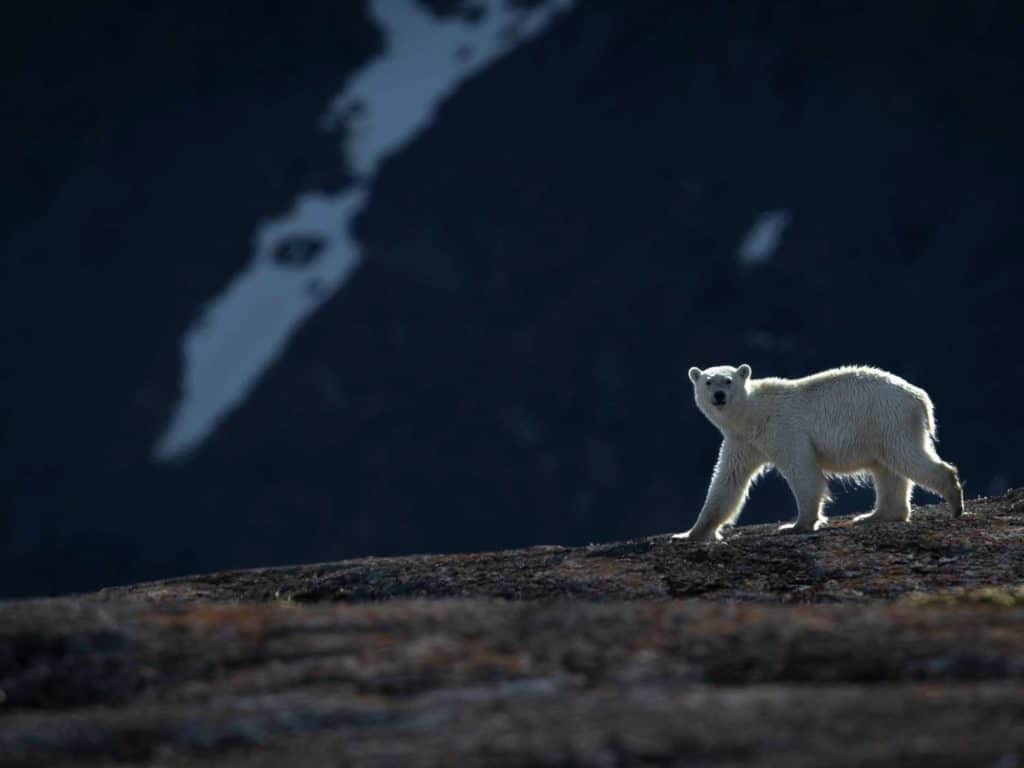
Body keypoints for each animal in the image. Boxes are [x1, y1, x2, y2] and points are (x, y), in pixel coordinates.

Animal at [672, 364, 964, 542]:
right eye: (708, 381)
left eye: (728, 380)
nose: (719, 395)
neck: (753, 416)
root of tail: (920, 396)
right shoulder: (742, 442)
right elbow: (727, 482)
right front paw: (690, 534)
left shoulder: (783, 430)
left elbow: (802, 471)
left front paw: (796, 525)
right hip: (879, 428)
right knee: (887, 470)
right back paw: (875, 516)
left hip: (886, 419)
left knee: (905, 458)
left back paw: (954, 501)